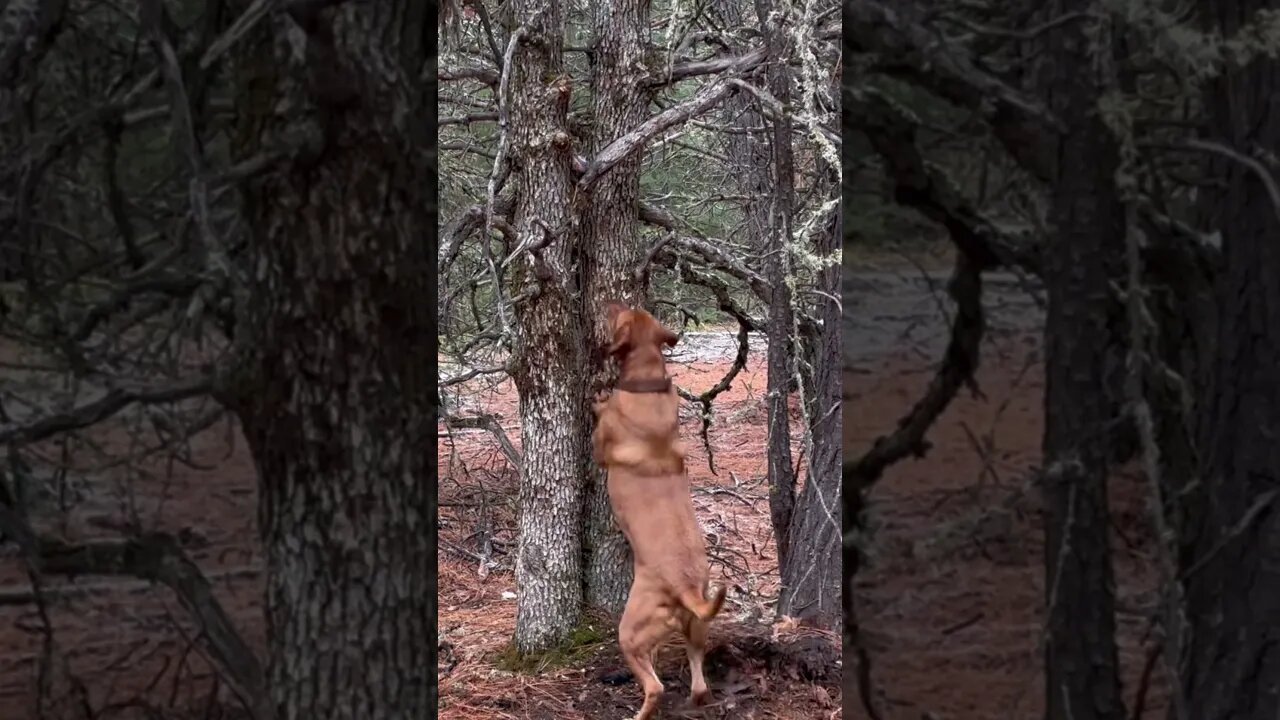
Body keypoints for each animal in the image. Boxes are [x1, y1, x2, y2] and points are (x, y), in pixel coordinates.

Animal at [591, 302, 727, 717]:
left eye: (617, 313)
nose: (608, 305)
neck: (648, 378)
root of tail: (687, 589)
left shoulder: (599, 447)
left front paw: (596, 397)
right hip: (695, 630)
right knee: (698, 680)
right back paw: (696, 697)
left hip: (630, 631)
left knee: (655, 687)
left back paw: (639, 712)